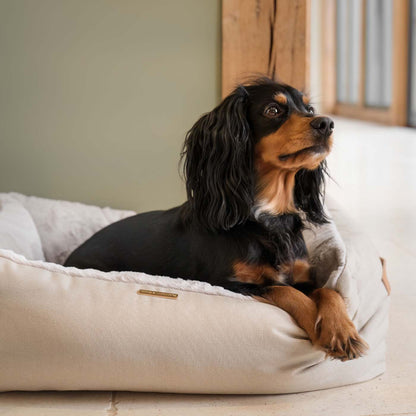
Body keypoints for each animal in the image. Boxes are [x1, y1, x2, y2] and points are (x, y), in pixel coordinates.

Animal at [65, 77, 368, 360]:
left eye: (310, 109)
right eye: (272, 110)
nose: (326, 123)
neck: (267, 218)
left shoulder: (303, 277)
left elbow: (328, 291)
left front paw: (342, 332)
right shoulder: (228, 283)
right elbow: (283, 290)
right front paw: (318, 328)